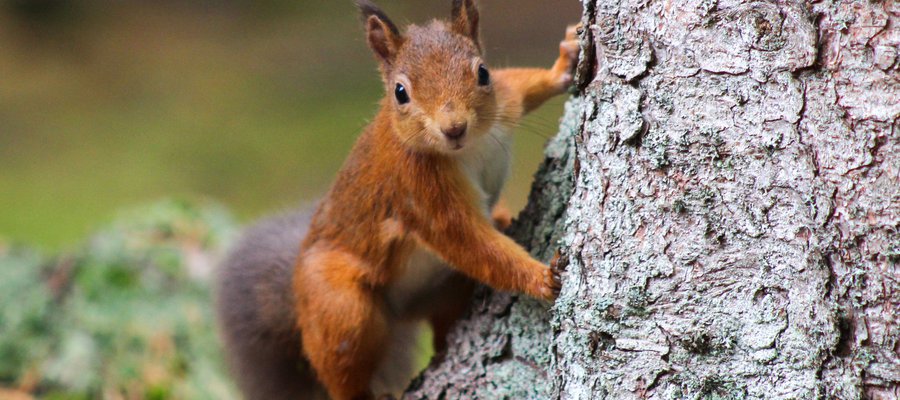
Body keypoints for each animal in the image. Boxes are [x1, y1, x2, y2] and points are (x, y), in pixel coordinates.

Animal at [219, 1, 580, 398]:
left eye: (483, 73)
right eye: (400, 93)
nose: (454, 128)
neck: (468, 148)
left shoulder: (505, 102)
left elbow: (520, 83)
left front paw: (565, 63)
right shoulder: (420, 191)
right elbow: (470, 243)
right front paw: (541, 277)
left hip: (446, 290)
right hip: (339, 306)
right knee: (342, 368)